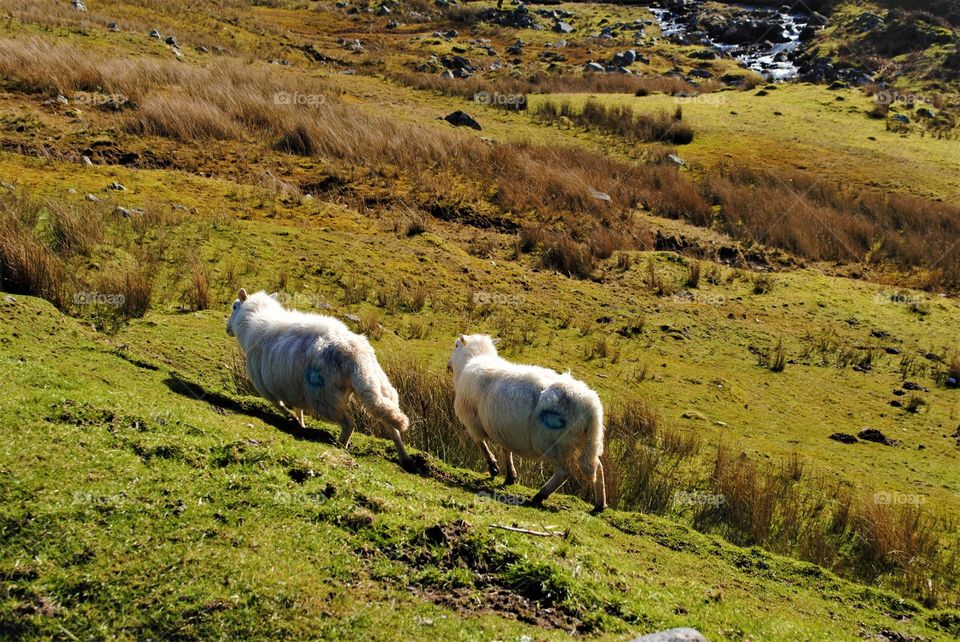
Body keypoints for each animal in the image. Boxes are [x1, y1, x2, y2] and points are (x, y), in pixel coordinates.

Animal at [226, 288, 412, 468]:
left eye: (234, 307)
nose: (227, 329)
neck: (252, 322)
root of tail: (354, 352)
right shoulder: (294, 389)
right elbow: (298, 409)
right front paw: (301, 424)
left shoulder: (264, 386)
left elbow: (279, 405)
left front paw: (291, 419)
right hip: (379, 387)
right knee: (391, 426)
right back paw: (404, 458)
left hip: (325, 397)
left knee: (349, 423)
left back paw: (340, 446)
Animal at [447, 334, 606, 511]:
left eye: (455, 345)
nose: (448, 364)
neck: (474, 359)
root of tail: (590, 404)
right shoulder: (503, 428)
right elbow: (506, 450)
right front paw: (510, 476)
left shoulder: (472, 421)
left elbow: (482, 444)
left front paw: (493, 468)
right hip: (589, 440)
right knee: (598, 467)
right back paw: (600, 504)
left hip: (552, 442)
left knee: (564, 471)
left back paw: (540, 496)